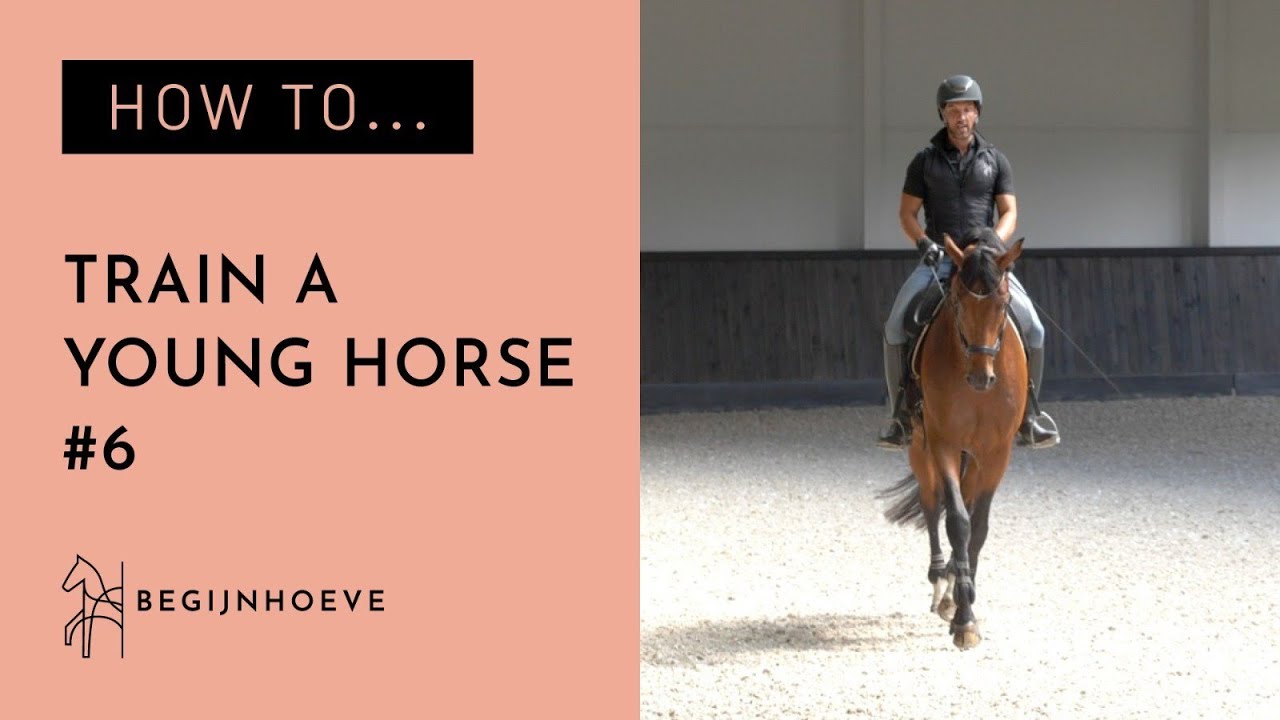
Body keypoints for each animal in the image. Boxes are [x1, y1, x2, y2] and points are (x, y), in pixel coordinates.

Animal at [879, 230, 1026, 650]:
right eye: (958, 303)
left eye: (1003, 304)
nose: (980, 377)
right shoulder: (943, 443)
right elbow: (958, 521)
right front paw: (964, 619)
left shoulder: (997, 453)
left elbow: (979, 524)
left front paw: (966, 601)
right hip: (919, 446)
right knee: (933, 505)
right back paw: (939, 582)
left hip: (973, 456)